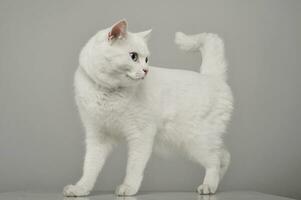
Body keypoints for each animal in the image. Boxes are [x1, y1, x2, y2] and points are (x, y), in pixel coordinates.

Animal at [62, 20, 232, 197]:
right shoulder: (97, 135)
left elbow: (134, 166)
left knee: (215, 160)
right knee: (224, 156)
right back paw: (215, 184)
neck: (108, 92)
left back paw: (208, 186)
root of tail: (211, 77)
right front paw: (80, 188)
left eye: (147, 59)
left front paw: (128, 187)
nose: (146, 70)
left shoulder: (141, 134)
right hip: (200, 140)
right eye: (134, 56)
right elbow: (90, 166)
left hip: (196, 140)